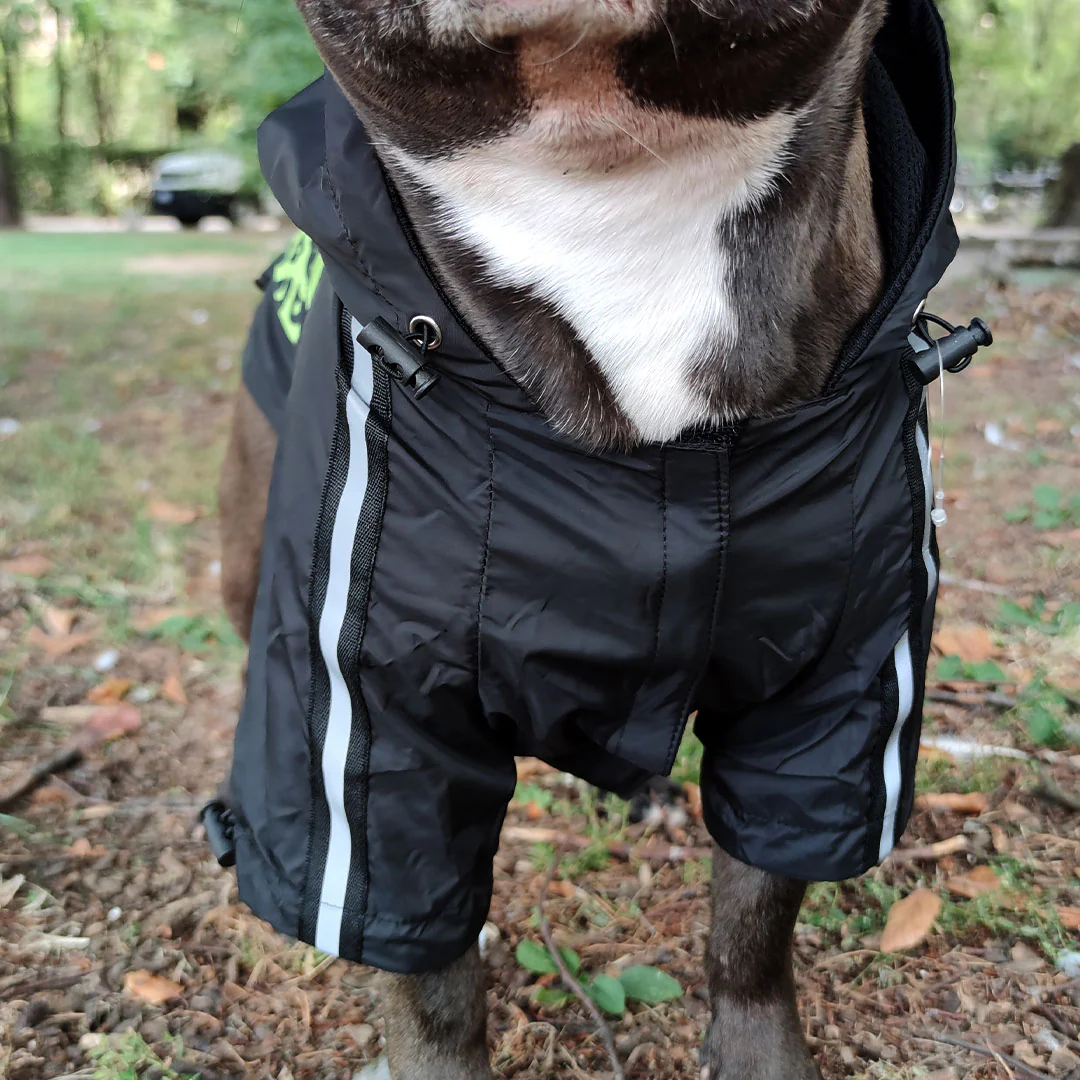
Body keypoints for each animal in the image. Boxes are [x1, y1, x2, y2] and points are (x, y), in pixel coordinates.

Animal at [215, 1, 972, 1076]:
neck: (614, 211)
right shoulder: (372, 720)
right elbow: (423, 969)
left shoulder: (839, 692)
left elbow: (758, 914)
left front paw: (761, 1049)